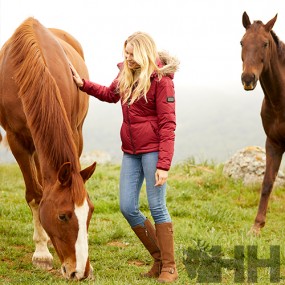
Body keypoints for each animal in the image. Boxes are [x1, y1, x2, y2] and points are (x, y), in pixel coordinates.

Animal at [0, 16, 96, 278]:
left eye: (90, 211)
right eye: (62, 216)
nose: (79, 271)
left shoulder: (72, 132)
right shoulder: (16, 140)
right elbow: (35, 195)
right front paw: (41, 253)